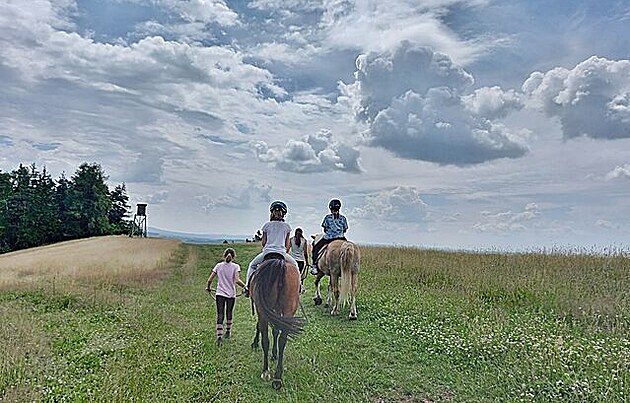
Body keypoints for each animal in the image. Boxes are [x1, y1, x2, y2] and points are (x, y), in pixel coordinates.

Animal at [251, 256, 304, 392]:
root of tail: (279, 263)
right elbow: (275, 331)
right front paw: (274, 354)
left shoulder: (261, 310)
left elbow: (262, 328)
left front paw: (255, 343)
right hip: (288, 311)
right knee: (282, 340)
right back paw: (277, 378)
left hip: (263, 311)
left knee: (265, 340)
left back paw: (266, 372)